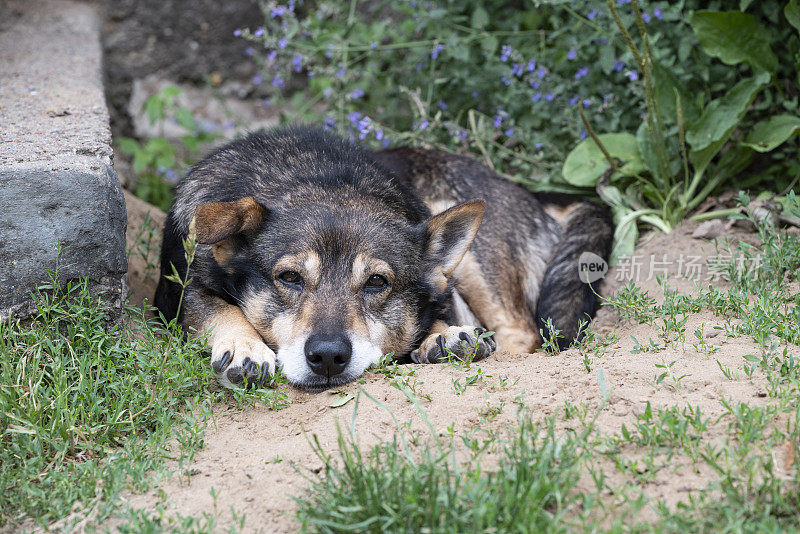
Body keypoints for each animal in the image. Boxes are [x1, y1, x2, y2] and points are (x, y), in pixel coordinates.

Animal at [155, 127, 612, 392]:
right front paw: (245, 348)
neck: (315, 178)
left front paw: (445, 336)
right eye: (289, 278)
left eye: (377, 282)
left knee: (522, 331)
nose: (327, 357)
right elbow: (220, 309)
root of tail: (536, 196)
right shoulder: (178, 297)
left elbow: (436, 313)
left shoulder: (440, 293)